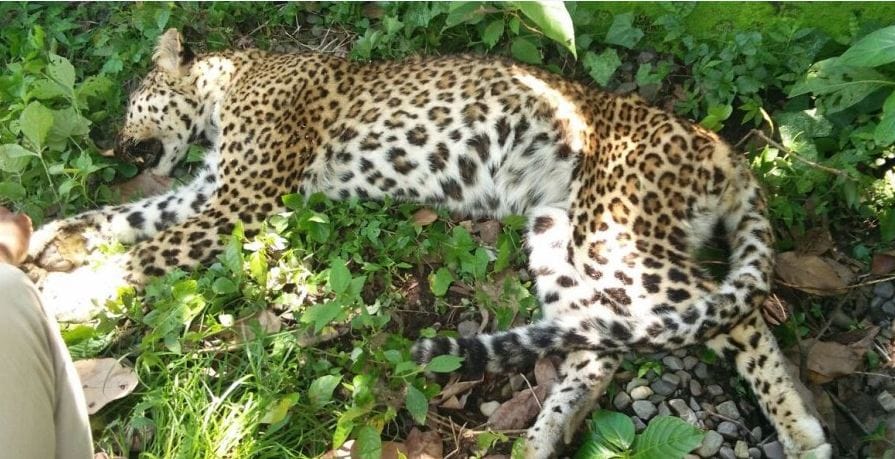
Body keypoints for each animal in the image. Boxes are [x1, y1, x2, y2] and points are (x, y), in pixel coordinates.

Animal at [26, 29, 831, 458]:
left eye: (133, 101)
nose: (111, 142)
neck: (224, 88)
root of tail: (715, 144)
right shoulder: (212, 188)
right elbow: (129, 218)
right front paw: (52, 240)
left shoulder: (241, 199)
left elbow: (145, 253)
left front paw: (60, 294)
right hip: (559, 240)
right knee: (601, 345)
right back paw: (542, 437)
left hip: (619, 236)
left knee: (735, 313)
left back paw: (799, 429)